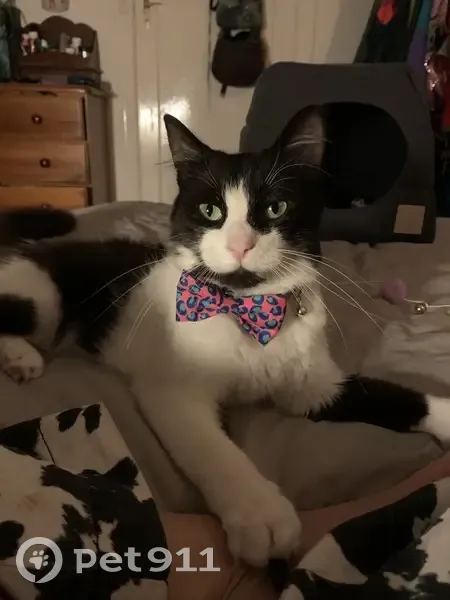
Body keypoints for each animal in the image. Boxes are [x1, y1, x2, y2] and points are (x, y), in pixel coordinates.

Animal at [0, 107, 449, 568]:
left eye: (275, 207)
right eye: (210, 210)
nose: (239, 246)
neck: (248, 311)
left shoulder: (315, 387)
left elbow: (402, 397)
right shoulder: (172, 392)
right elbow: (214, 451)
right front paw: (261, 514)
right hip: (43, 297)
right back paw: (21, 356)